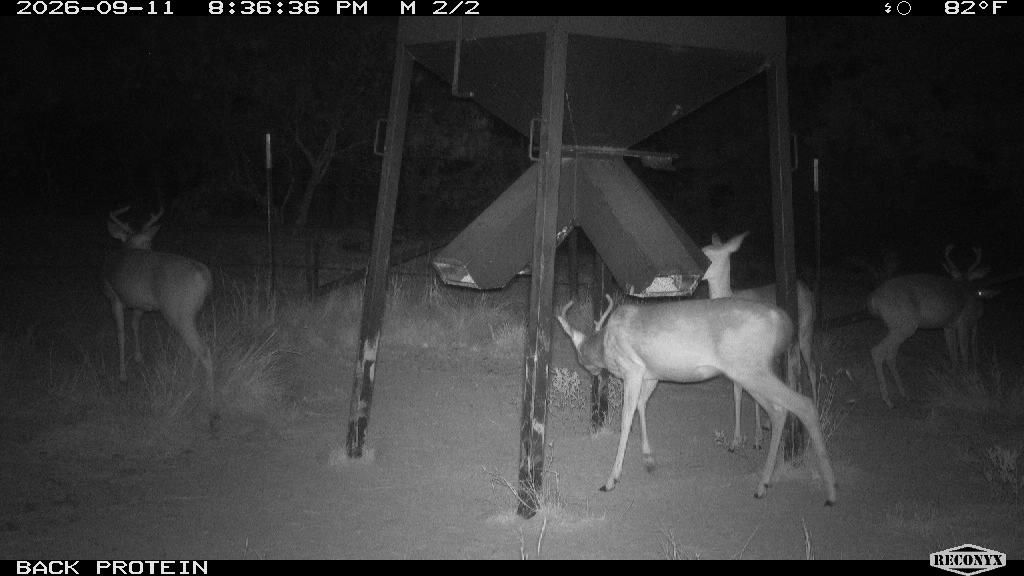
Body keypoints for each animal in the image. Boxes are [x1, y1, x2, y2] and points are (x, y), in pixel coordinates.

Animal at [102, 206, 215, 404]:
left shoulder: (114, 296)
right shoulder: (140, 304)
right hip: (194, 312)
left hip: (179, 313)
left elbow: (120, 334)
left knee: (203, 350)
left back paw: (210, 398)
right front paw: (138, 357)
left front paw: (122, 376)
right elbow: (135, 325)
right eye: (148, 242)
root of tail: (203, 274)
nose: (146, 248)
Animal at [556, 294, 837, 505]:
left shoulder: (632, 370)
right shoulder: (652, 375)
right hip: (750, 373)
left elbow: (626, 421)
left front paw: (610, 480)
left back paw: (829, 492)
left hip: (751, 369)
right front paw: (648, 459)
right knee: (779, 411)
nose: (591, 371)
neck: (605, 342)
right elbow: (642, 407)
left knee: (803, 404)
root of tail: (784, 321)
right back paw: (764, 484)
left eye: (579, 355)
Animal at [702, 232, 817, 451]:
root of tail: (807, 289)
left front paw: (751, 439)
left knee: (812, 370)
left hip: (806, 332)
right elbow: (738, 393)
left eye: (709, 255)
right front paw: (741, 439)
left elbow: (748, 393)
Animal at [867, 245, 994, 408]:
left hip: (896, 326)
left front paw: (954, 373)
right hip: (905, 324)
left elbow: (953, 350)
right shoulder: (964, 322)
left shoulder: (948, 326)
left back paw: (904, 393)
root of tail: (873, 298)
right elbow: (964, 350)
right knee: (877, 351)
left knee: (890, 354)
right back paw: (888, 400)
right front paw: (967, 376)